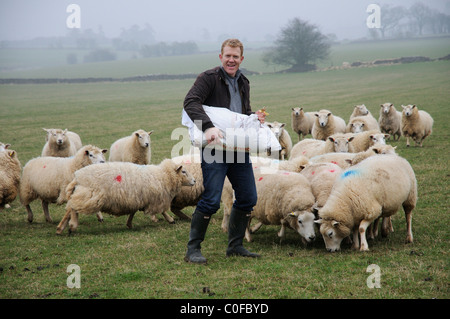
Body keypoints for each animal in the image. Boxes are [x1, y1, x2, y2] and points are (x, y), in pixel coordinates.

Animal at [55, 158, 195, 235]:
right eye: (183, 171)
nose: (194, 181)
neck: (162, 176)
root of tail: (77, 177)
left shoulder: (136, 198)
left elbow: (133, 211)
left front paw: (129, 224)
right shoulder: (155, 199)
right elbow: (163, 211)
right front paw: (170, 220)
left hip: (82, 195)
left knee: (70, 208)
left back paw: (60, 228)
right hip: (90, 196)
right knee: (73, 208)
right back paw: (72, 225)